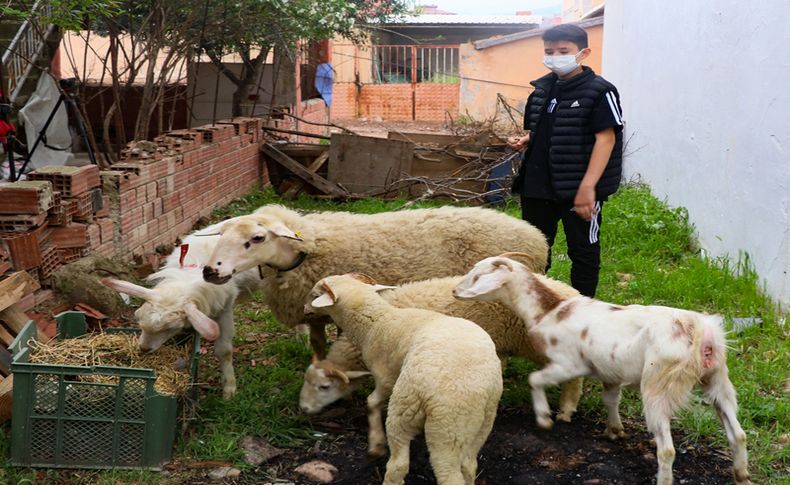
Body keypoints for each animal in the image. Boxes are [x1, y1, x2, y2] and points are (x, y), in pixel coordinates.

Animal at [100, 218, 262, 398]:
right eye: (137, 318)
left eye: (170, 328)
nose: (143, 349)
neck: (197, 268)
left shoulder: (224, 309)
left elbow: (224, 351)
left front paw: (229, 389)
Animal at [200, 202, 552, 358]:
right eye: (222, 235)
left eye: (257, 238)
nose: (210, 271)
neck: (308, 252)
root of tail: (536, 236)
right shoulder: (314, 314)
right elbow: (317, 345)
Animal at [306, 272, 504, 484]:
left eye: (314, 294)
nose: (305, 310)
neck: (377, 322)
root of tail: (476, 392)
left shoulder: (386, 376)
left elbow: (372, 401)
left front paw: (376, 444)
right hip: (481, 423)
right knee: (469, 464)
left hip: (429, 418)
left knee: (405, 464)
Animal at [452, 255, 756, 482]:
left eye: (477, 276)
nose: (454, 291)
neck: (547, 311)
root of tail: (700, 333)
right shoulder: (611, 372)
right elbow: (610, 399)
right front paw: (615, 430)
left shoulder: (568, 364)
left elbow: (535, 379)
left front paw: (545, 418)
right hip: (717, 379)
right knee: (738, 433)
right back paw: (741, 474)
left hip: (659, 385)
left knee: (667, 450)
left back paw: (665, 478)